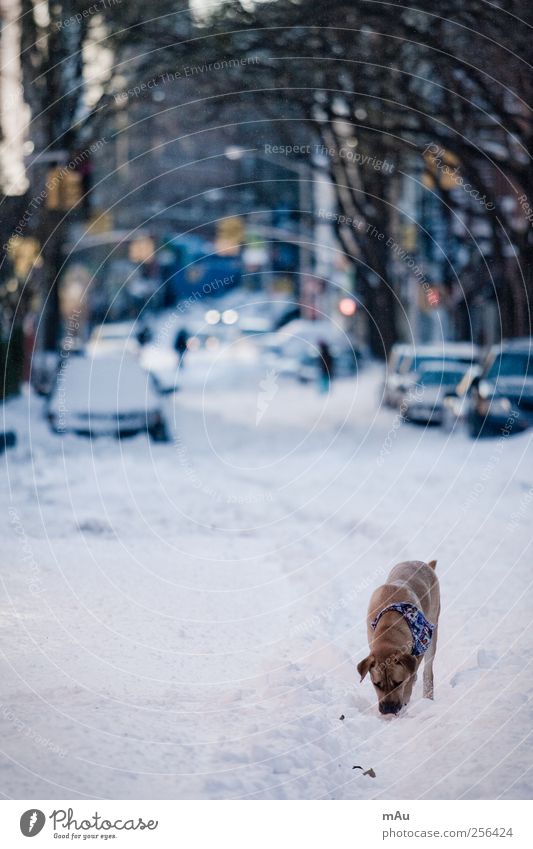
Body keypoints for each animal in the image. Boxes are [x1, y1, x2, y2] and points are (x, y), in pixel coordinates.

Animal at [356, 560, 438, 712]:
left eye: (398, 683)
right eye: (377, 684)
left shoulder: (419, 649)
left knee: (428, 670)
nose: (388, 708)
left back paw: (428, 698)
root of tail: (424, 564)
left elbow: (410, 679)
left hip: (433, 626)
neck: (389, 626)